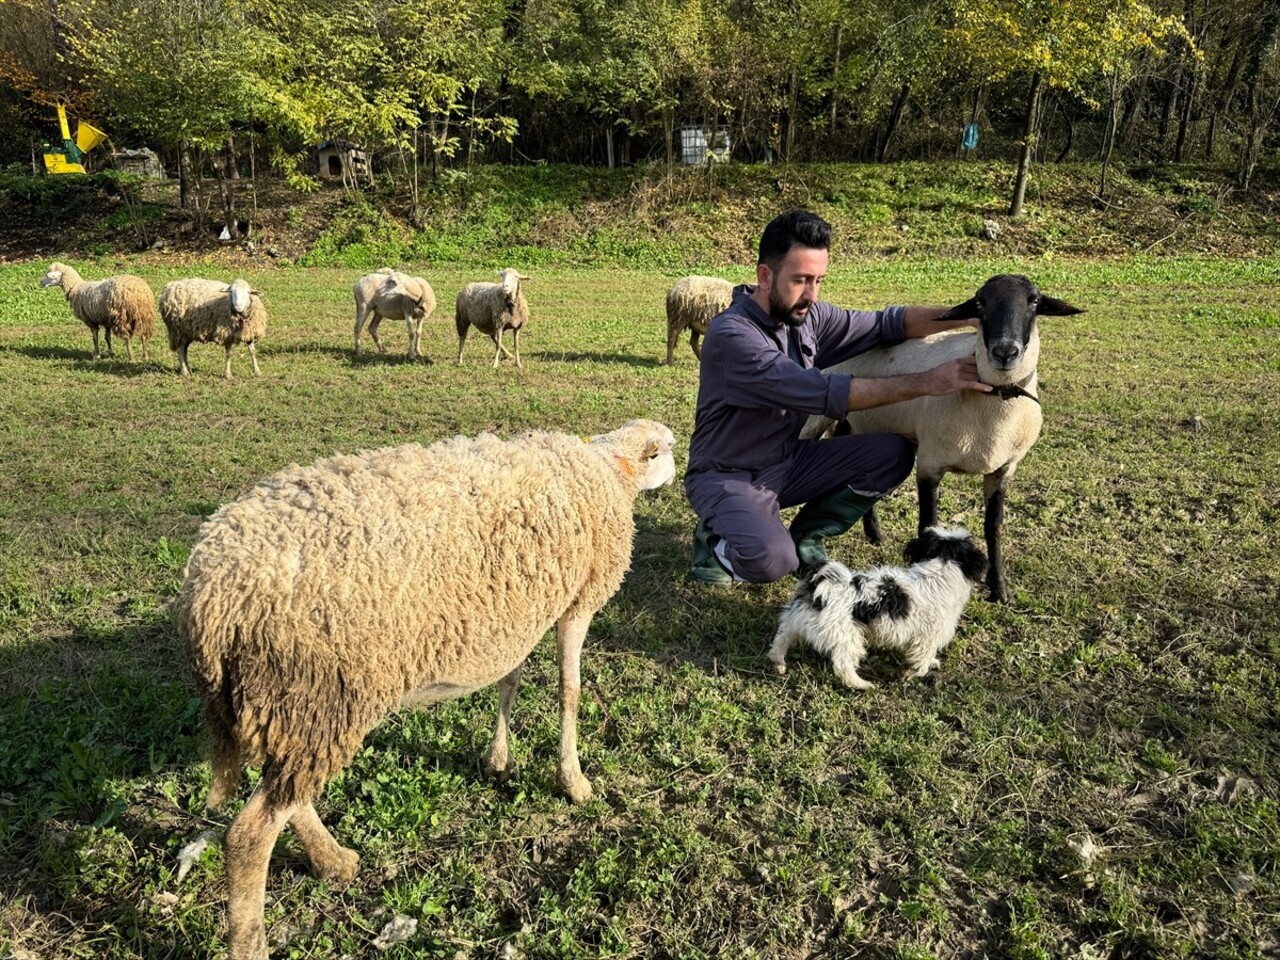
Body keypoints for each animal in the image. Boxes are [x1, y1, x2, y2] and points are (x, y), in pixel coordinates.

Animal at [181, 419, 680, 960]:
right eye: (661, 451)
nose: (680, 466)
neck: (606, 468)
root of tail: (208, 601)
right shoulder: (578, 602)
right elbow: (570, 691)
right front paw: (574, 781)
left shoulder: (521, 613)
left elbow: (510, 681)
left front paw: (498, 759)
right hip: (318, 694)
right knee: (249, 837)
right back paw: (256, 935)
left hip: (293, 707)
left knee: (287, 794)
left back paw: (334, 860)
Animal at [768, 527, 988, 691]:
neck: (940, 570)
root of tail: (820, 585)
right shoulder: (927, 638)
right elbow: (921, 662)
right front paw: (910, 675)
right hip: (847, 636)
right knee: (843, 666)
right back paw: (862, 684)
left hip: (795, 620)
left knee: (782, 638)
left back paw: (778, 663)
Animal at [798, 272, 1080, 601]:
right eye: (980, 303)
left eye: (1034, 301)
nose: (1005, 352)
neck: (993, 407)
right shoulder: (930, 464)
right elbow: (927, 525)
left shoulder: (1004, 469)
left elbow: (993, 527)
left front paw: (999, 590)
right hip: (817, 419)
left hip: (859, 424)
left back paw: (875, 534)